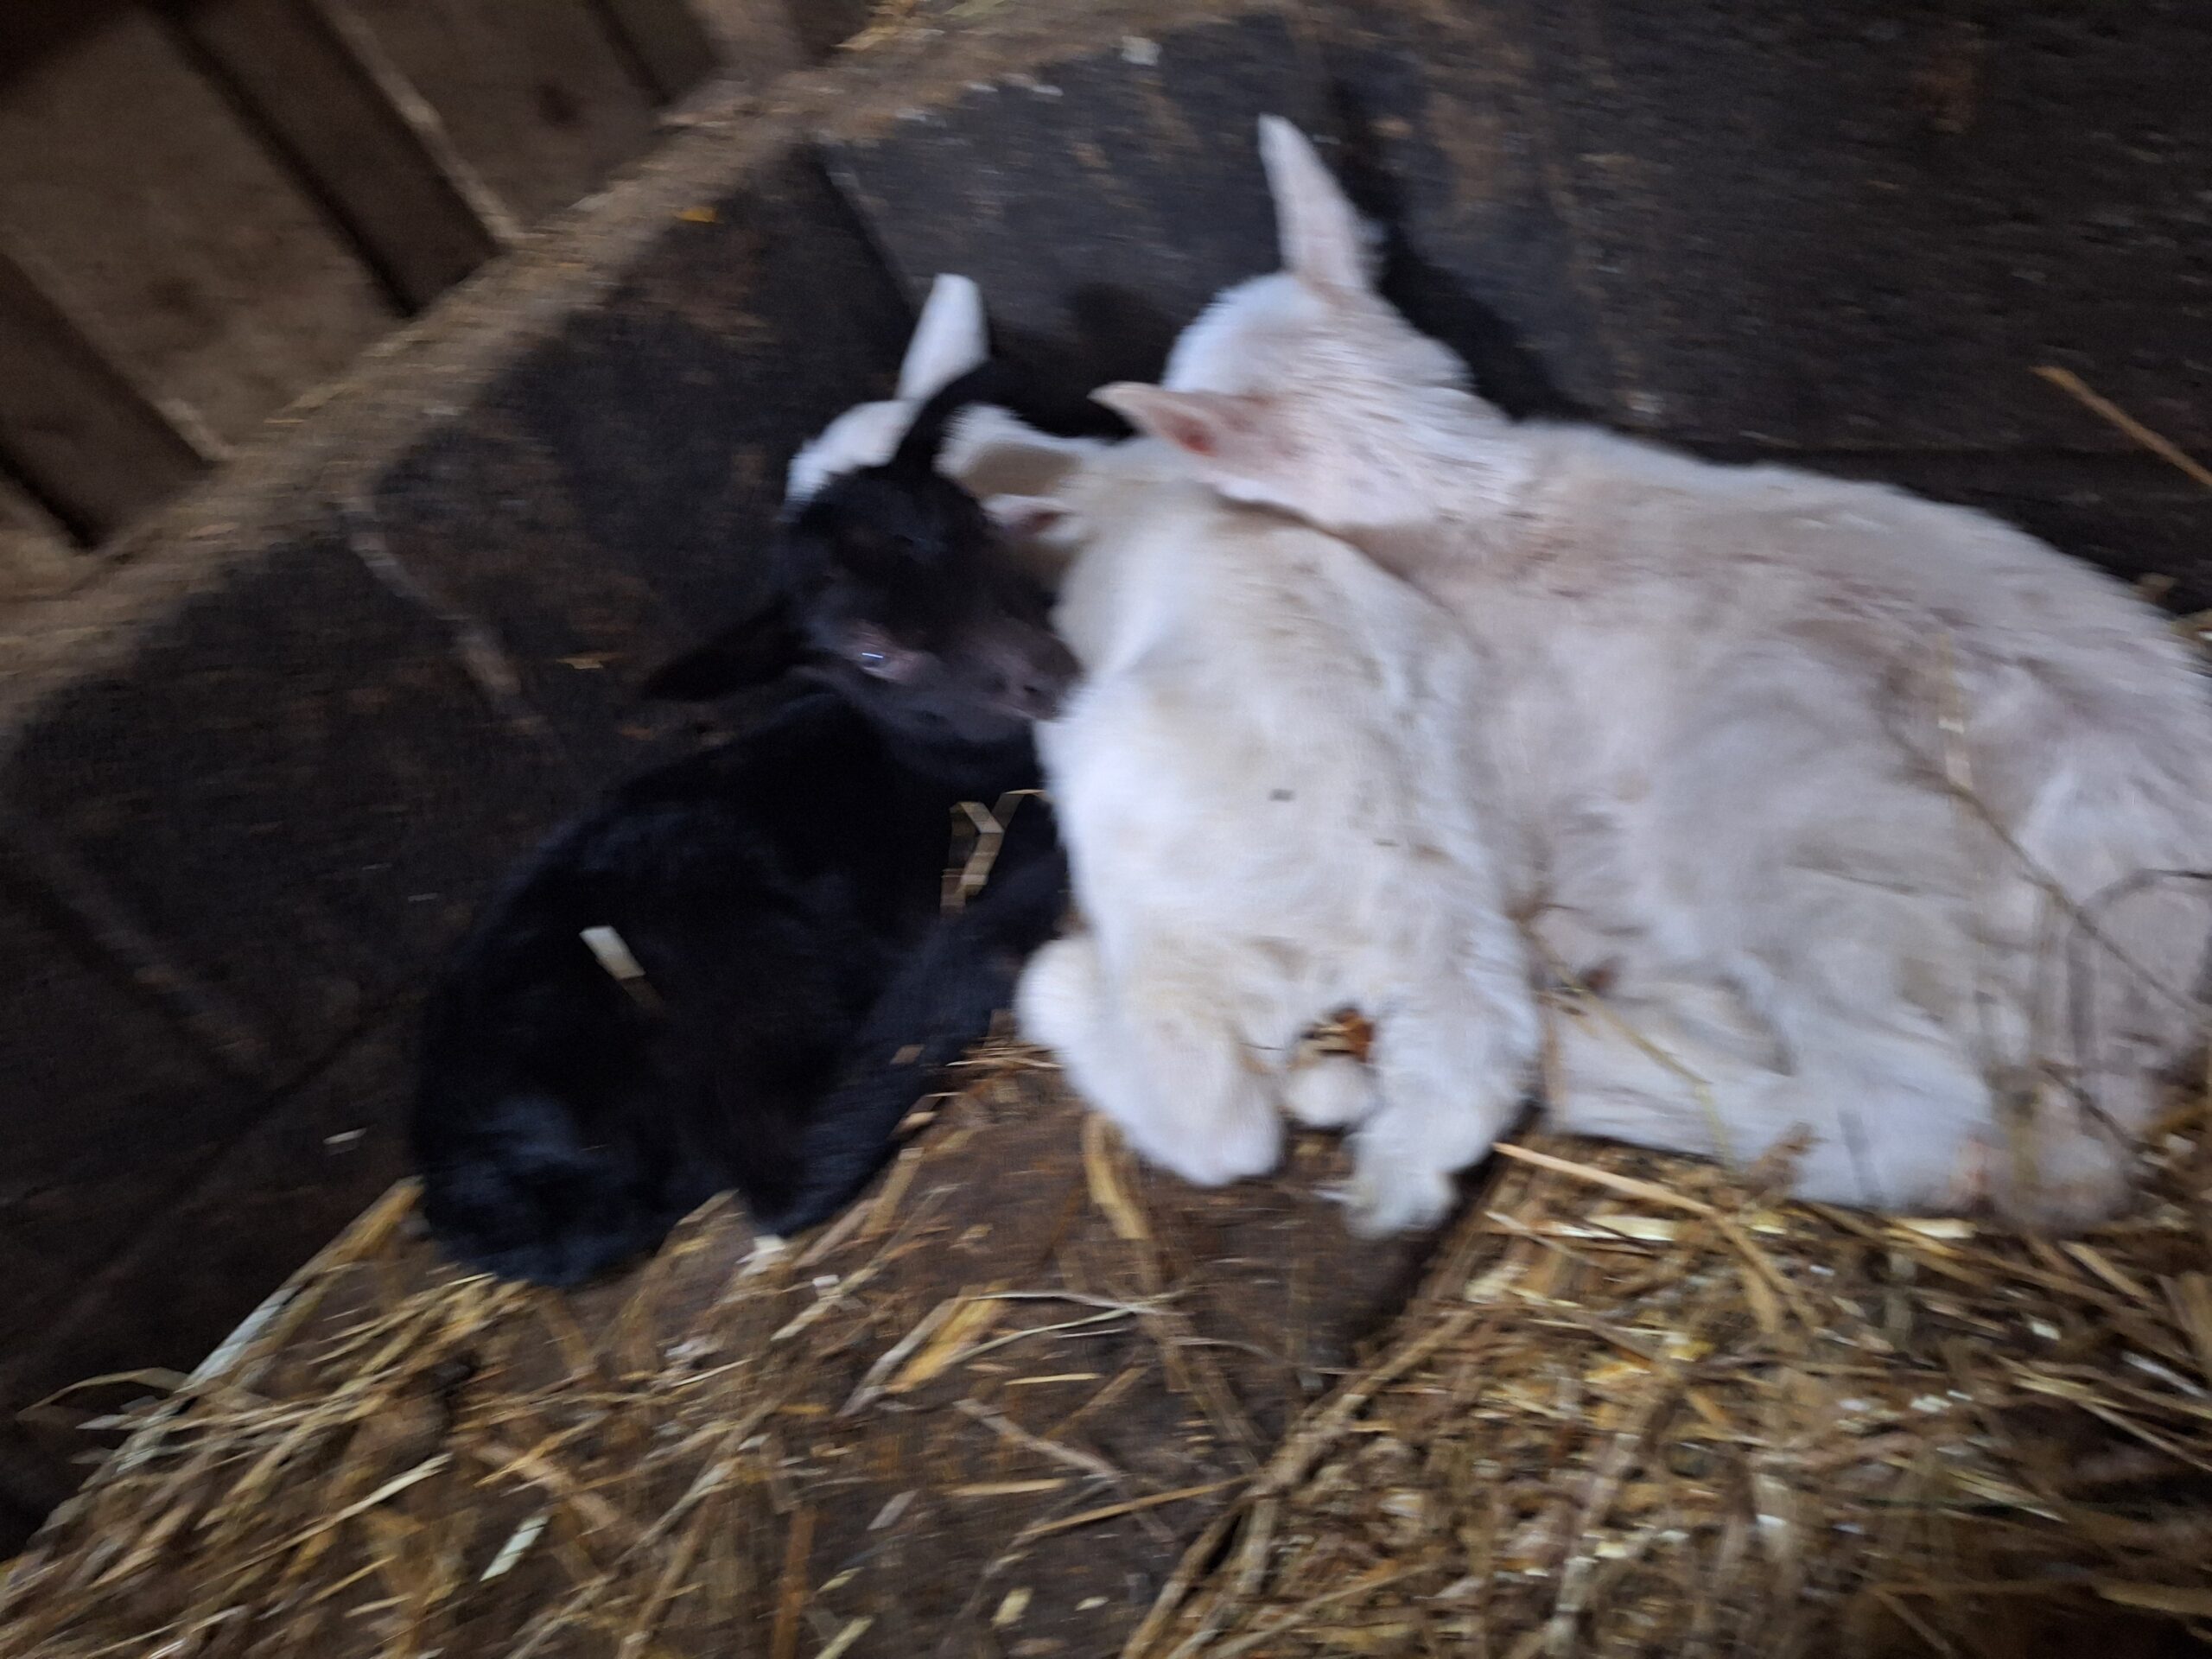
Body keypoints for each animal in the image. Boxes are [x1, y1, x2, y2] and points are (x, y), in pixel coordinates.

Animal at [412, 310, 1076, 1286]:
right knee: (779, 1168)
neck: (928, 777)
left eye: (982, 525)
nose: (1047, 674)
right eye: (872, 653)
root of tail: (468, 1188)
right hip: (705, 926)